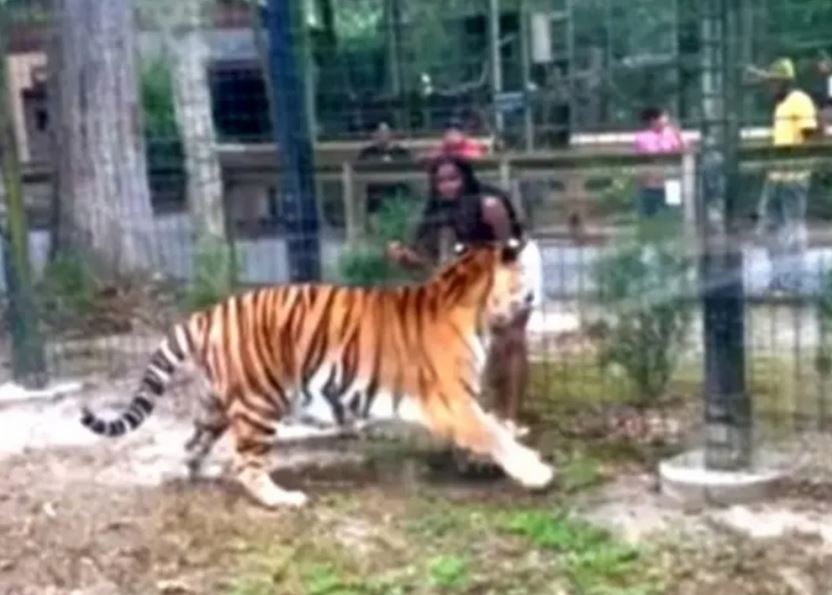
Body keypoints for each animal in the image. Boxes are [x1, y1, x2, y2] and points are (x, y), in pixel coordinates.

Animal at [81, 237, 556, 508]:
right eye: (529, 273)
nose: (538, 296)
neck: (469, 298)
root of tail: (209, 314)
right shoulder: (452, 401)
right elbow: (492, 433)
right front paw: (536, 473)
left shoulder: (461, 403)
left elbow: (495, 429)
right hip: (259, 402)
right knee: (246, 464)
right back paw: (283, 499)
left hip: (213, 404)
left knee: (194, 443)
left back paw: (195, 473)